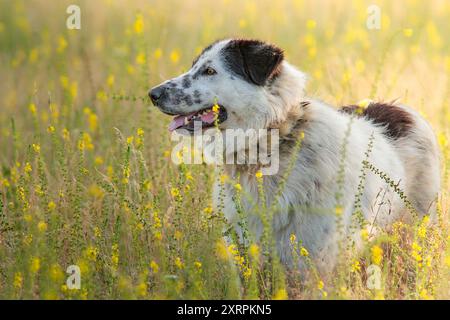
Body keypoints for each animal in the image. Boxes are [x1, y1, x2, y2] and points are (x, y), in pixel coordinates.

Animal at [150, 37, 440, 272]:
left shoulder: (313, 259)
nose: (153, 94)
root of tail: (400, 108)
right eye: (194, 67)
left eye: (210, 71)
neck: (276, 138)